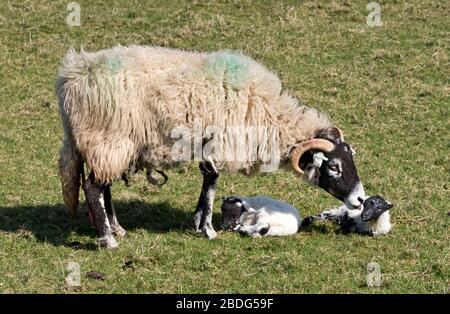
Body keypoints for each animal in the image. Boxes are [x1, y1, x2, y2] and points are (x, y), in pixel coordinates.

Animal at [56, 46, 366, 248]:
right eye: (334, 167)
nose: (361, 200)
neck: (270, 115)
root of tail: (72, 76)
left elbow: (207, 184)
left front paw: (196, 221)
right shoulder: (218, 143)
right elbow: (212, 184)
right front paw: (207, 229)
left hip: (110, 144)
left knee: (103, 186)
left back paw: (117, 229)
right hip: (109, 138)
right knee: (93, 187)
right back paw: (107, 239)